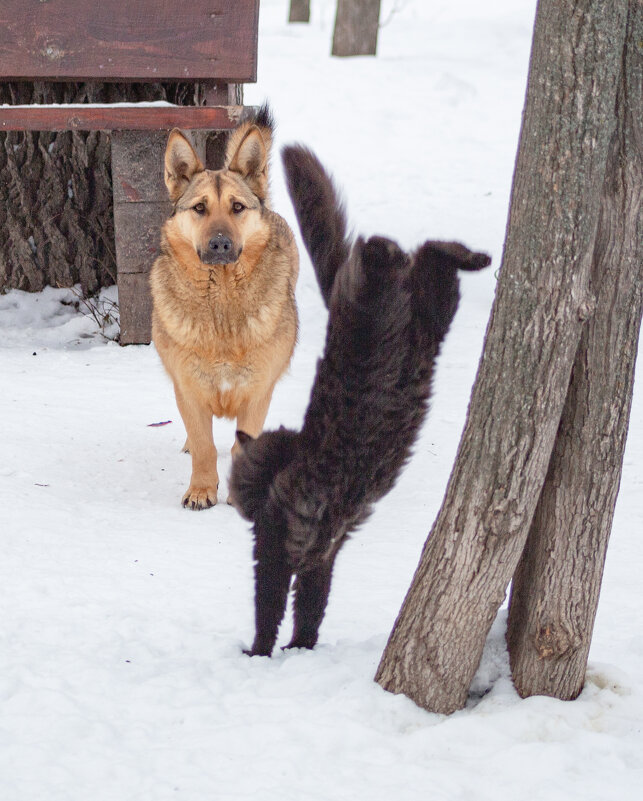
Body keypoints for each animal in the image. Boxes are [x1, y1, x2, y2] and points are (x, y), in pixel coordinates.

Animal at [151, 106, 300, 510]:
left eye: (237, 207)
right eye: (200, 208)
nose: (220, 244)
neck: (222, 308)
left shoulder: (257, 392)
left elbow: (240, 445)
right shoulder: (189, 388)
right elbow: (204, 446)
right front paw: (202, 490)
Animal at [229, 145, 490, 656]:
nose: (233, 503)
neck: (276, 467)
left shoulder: (272, 552)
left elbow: (267, 611)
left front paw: (259, 652)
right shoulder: (321, 560)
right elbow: (311, 611)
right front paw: (301, 649)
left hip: (382, 296)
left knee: (391, 247)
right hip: (433, 314)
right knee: (430, 255)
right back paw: (478, 257)